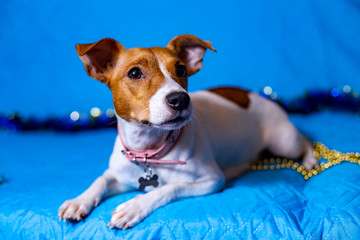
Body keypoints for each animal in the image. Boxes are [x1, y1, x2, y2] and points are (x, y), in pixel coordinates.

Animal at [57, 34, 318, 230]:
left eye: (181, 70)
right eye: (134, 73)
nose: (180, 99)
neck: (150, 150)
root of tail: (258, 94)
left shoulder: (212, 180)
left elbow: (170, 188)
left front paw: (135, 206)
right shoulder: (120, 174)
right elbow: (101, 179)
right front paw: (79, 201)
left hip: (285, 141)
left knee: (305, 141)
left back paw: (311, 160)